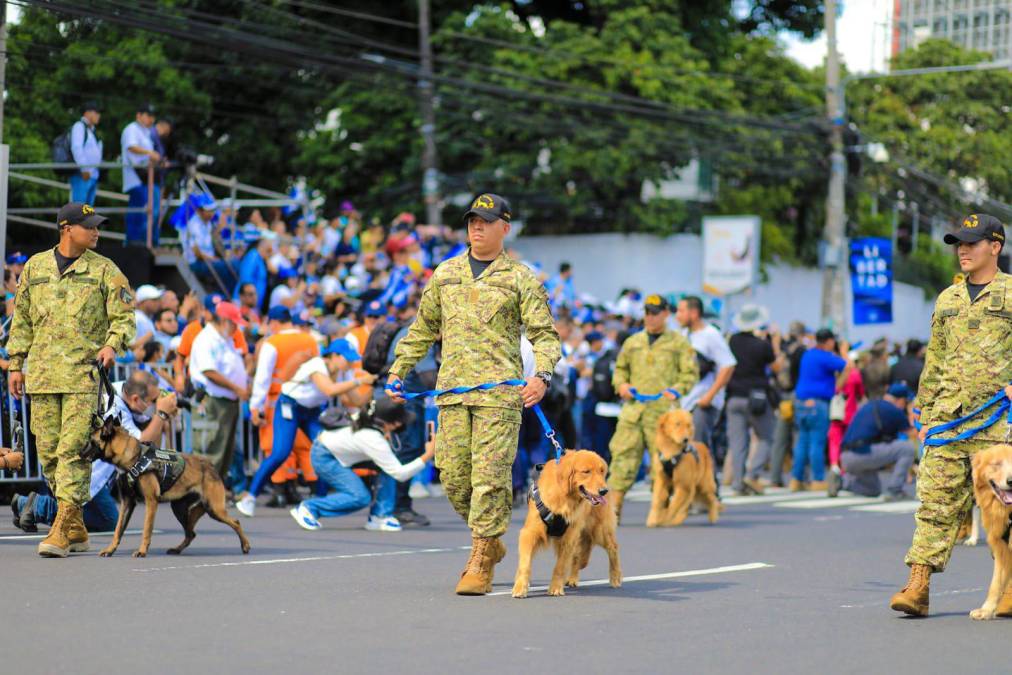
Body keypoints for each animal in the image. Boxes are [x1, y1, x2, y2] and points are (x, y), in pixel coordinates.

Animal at [80, 416, 250, 558]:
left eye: (90, 441)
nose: (79, 452)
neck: (133, 458)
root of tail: (210, 465)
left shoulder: (151, 502)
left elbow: (146, 529)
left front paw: (142, 551)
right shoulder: (127, 503)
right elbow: (118, 529)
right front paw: (110, 549)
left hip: (214, 509)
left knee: (235, 522)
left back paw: (245, 546)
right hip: (181, 509)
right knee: (191, 533)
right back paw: (177, 549)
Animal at [510, 451, 619, 599]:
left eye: (601, 471)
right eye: (586, 471)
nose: (604, 491)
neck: (564, 496)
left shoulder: (568, 539)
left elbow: (560, 567)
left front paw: (556, 587)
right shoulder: (530, 533)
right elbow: (525, 564)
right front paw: (520, 586)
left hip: (599, 530)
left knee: (613, 548)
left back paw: (616, 577)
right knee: (578, 557)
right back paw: (572, 579)